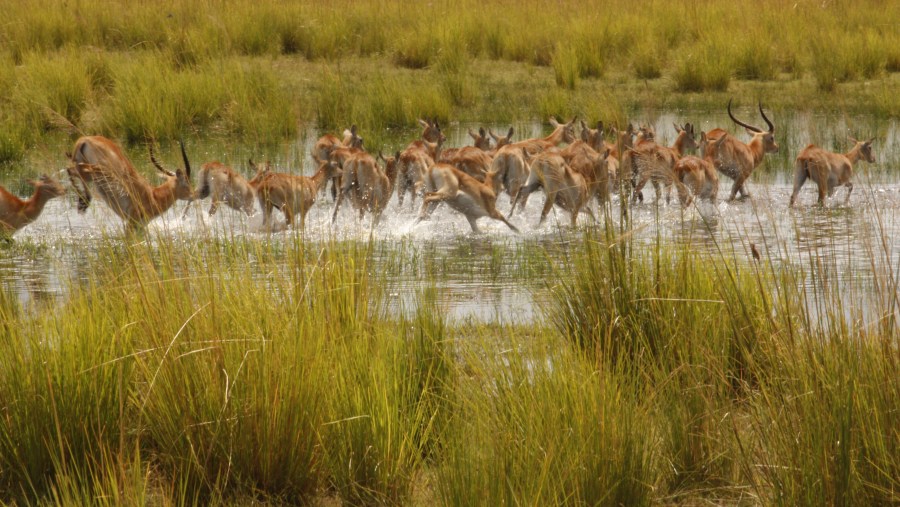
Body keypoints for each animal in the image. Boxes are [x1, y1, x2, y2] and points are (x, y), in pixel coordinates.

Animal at [67, 135, 195, 230]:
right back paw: (84, 203)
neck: (154, 196)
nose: (194, 195)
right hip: (96, 170)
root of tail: (85, 139)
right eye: (186, 183)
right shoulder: (133, 223)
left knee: (71, 170)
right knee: (74, 170)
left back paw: (82, 204)